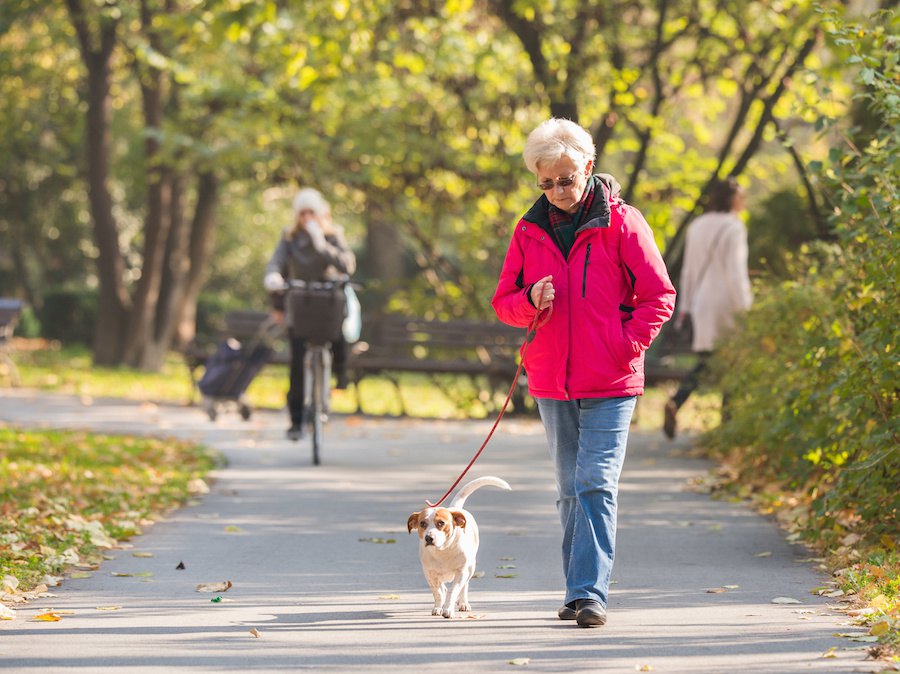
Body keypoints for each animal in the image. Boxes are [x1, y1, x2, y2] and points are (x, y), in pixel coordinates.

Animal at [410, 476, 510, 616]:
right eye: (422, 523)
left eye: (441, 523)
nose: (429, 538)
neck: (442, 551)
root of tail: (454, 508)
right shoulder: (429, 573)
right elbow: (438, 592)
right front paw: (438, 607)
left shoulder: (461, 571)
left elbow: (454, 591)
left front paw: (448, 609)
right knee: (443, 588)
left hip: (471, 567)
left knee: (464, 586)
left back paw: (463, 603)